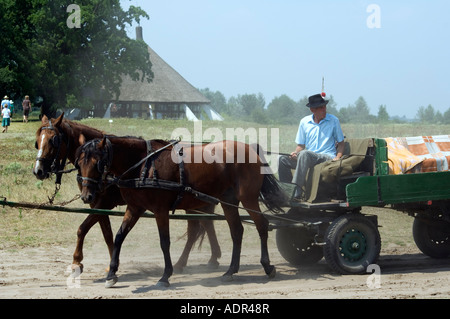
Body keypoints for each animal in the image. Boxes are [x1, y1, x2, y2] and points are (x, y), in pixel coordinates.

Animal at [32, 114, 221, 276]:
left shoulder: (103, 204)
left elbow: (83, 228)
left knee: (196, 229)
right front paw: (110, 263)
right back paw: (212, 258)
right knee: (205, 224)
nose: (38, 171)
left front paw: (78, 262)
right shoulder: (97, 204)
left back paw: (185, 262)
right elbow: (107, 234)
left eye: (53, 140)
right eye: (37, 141)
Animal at [74, 135, 284, 288]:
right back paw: (230, 271)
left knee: (262, 225)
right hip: (229, 201)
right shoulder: (134, 208)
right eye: (80, 163)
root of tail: (251, 149)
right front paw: (111, 274)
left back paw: (267, 266)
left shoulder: (160, 210)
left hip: (248, 199)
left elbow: (164, 242)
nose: (87, 196)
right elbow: (119, 237)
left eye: (97, 162)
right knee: (237, 231)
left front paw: (165, 276)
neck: (142, 165)